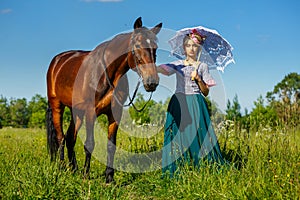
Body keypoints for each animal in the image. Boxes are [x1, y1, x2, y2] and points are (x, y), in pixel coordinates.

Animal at [45, 17, 162, 183]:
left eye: (155, 47)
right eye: (138, 45)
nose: (151, 82)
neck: (107, 72)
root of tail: (57, 61)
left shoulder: (115, 113)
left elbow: (111, 145)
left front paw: (109, 178)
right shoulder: (90, 112)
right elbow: (89, 144)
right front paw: (86, 175)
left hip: (77, 111)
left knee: (70, 138)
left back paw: (73, 169)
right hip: (57, 105)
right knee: (60, 138)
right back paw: (62, 169)